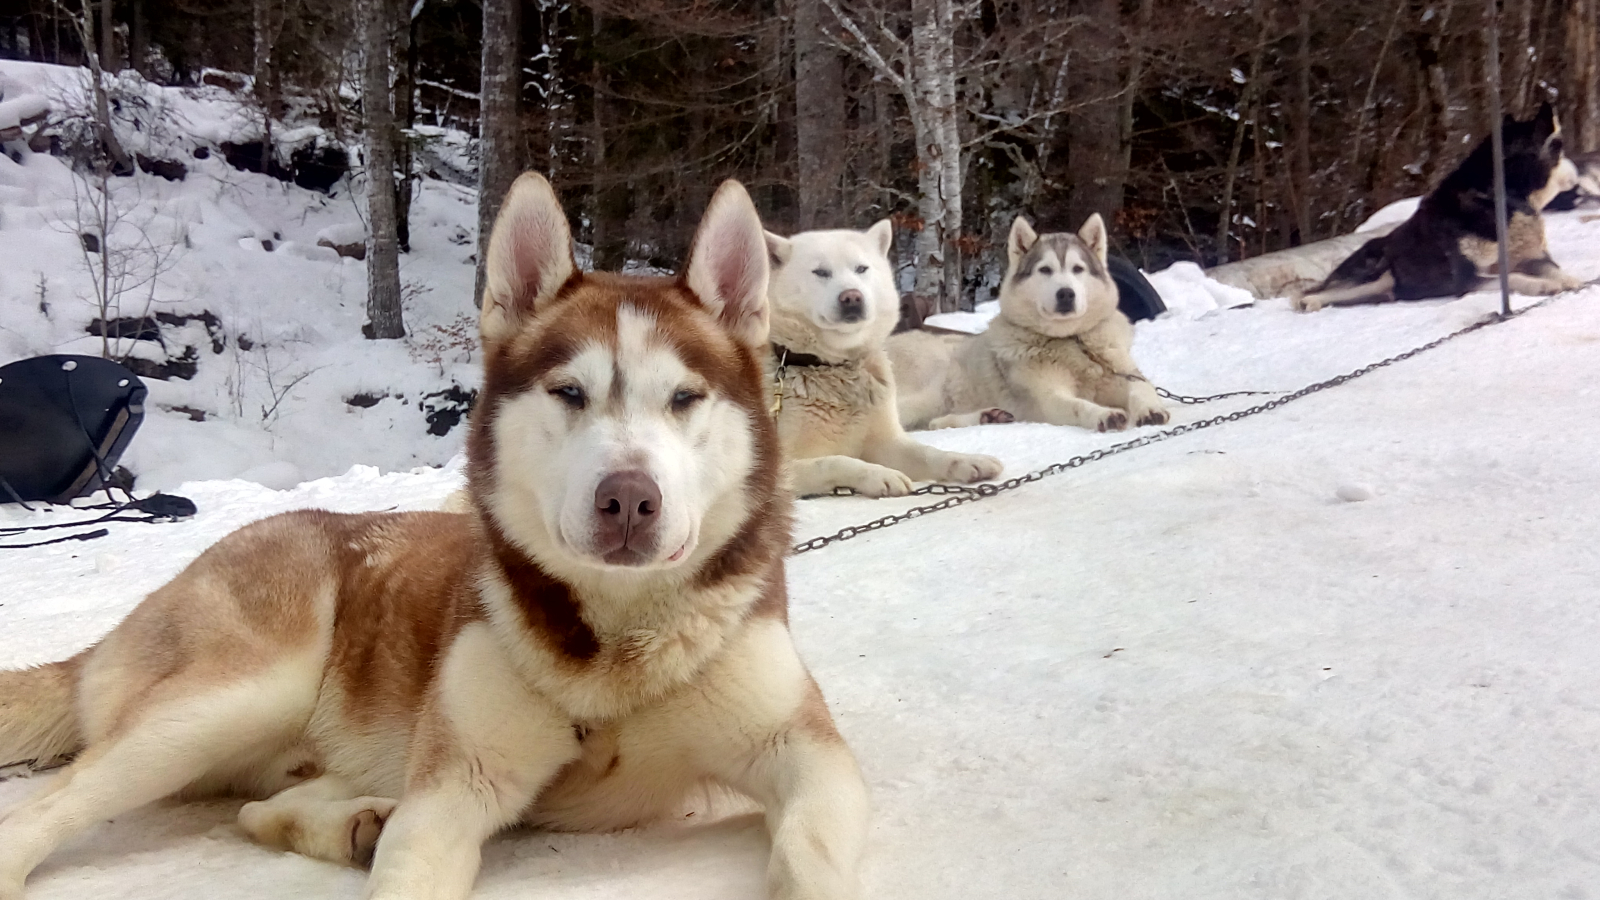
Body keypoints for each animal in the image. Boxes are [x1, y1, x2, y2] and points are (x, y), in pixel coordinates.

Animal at [0, 173, 864, 896]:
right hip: (226, 700)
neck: (613, 651)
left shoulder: (808, 755)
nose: (627, 500)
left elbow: (817, 850)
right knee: (45, 809)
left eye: (685, 397)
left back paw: (352, 824)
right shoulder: (453, 787)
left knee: (261, 811)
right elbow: (414, 855)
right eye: (569, 392)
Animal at [896, 212, 1171, 432]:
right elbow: (1078, 405)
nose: (1066, 294)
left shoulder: (1125, 375)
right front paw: (1104, 414)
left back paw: (988, 416)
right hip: (931, 386)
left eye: (1078, 269)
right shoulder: (1048, 398)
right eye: (1045, 270)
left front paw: (1150, 410)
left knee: (934, 423)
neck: (1070, 342)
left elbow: (1142, 388)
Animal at [1299, 103, 1587, 307]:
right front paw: (1541, 286)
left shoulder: (1533, 258)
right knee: (1319, 294)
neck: (1504, 200)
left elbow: (1554, 270)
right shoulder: (1468, 279)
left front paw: (1572, 281)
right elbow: (1515, 277)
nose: (1579, 169)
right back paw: (1310, 302)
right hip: (1372, 274)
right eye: (1560, 151)